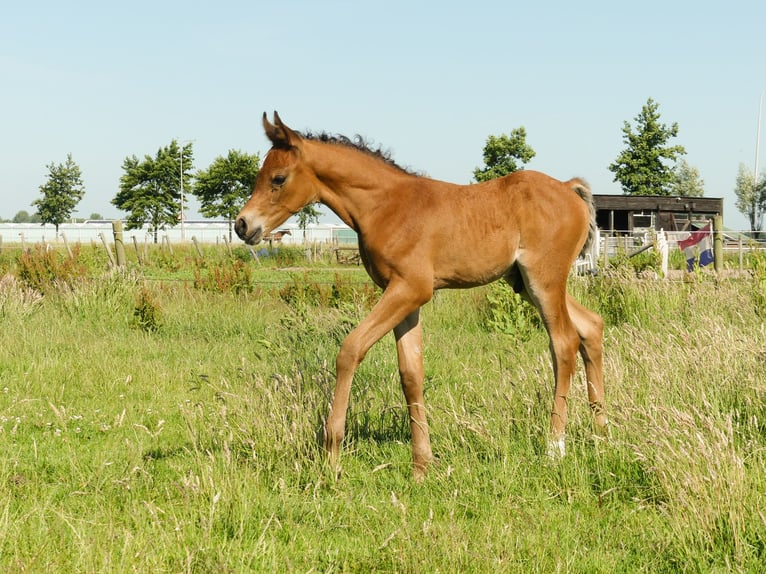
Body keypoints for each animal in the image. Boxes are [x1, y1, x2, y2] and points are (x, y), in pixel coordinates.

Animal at [235, 112, 607, 480]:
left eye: (278, 178)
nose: (242, 225)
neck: (385, 205)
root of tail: (568, 188)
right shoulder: (404, 297)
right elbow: (411, 373)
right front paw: (421, 466)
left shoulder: (410, 289)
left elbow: (350, 349)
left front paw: (332, 452)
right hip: (526, 282)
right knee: (591, 325)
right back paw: (601, 431)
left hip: (544, 280)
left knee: (564, 343)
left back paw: (555, 446)